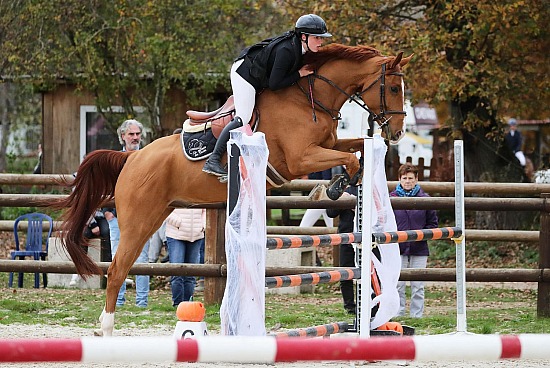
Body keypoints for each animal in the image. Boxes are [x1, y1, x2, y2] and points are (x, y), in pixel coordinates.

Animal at [54, 43, 412, 336]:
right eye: (394, 87)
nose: (396, 133)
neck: (311, 98)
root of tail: (131, 157)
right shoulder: (300, 158)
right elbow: (347, 158)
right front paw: (336, 187)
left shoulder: (326, 145)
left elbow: (354, 148)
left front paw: (342, 182)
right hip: (138, 220)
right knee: (116, 270)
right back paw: (105, 329)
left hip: (156, 215)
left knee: (122, 267)